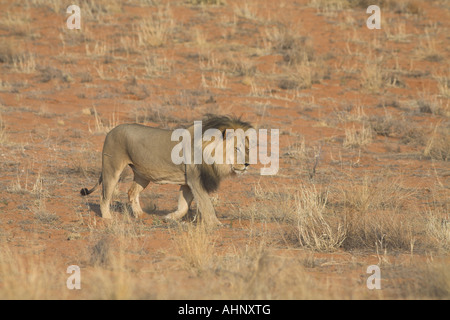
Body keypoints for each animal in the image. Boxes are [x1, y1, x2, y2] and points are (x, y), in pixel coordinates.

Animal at [80, 114, 253, 226]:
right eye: (236, 148)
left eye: (246, 148)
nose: (247, 164)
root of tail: (111, 131)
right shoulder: (195, 181)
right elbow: (206, 204)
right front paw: (216, 224)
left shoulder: (187, 183)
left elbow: (183, 207)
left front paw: (169, 218)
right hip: (112, 168)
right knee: (104, 196)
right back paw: (107, 218)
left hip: (143, 175)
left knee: (132, 192)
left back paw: (140, 214)